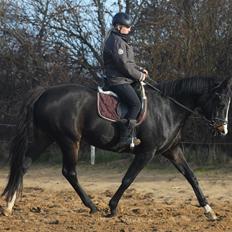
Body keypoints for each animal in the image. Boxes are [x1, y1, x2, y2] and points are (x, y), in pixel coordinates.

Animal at [1, 75, 232, 219]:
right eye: (220, 102)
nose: (222, 129)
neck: (168, 108)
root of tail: (45, 92)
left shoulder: (172, 150)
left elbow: (192, 177)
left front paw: (210, 211)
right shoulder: (147, 152)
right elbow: (128, 179)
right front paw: (112, 208)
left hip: (45, 137)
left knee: (23, 165)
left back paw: (9, 206)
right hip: (69, 140)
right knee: (69, 172)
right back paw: (92, 207)